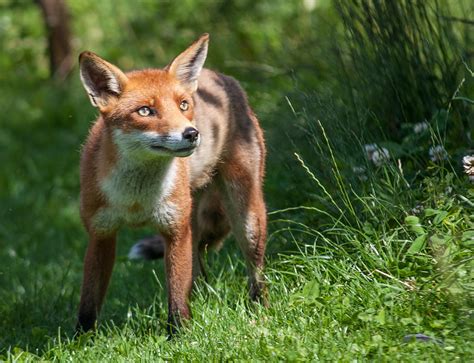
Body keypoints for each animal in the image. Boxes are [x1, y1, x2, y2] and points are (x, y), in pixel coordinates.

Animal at [74, 34, 266, 336]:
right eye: (145, 111)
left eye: (183, 105)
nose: (192, 133)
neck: (136, 199)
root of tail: (220, 75)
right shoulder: (101, 233)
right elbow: (89, 300)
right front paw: (81, 339)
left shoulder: (174, 231)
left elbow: (176, 296)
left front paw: (179, 336)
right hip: (193, 222)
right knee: (198, 272)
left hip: (246, 217)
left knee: (255, 272)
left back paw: (259, 312)